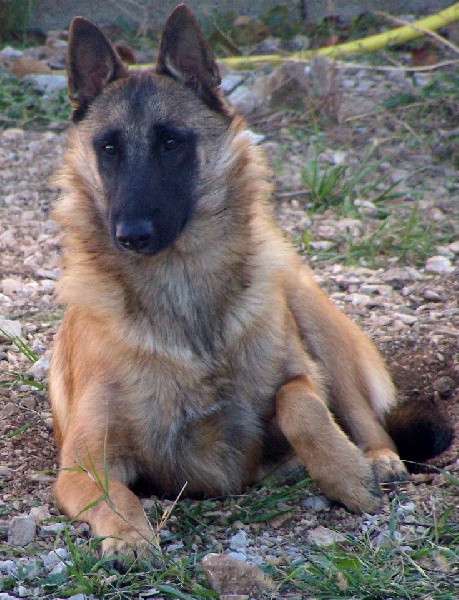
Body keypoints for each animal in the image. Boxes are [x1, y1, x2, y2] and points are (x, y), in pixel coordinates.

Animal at [49, 4, 452, 557]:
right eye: (108, 148)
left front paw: (347, 475)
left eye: (171, 143)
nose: (131, 234)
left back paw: (376, 459)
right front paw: (129, 536)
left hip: (308, 308)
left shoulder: (302, 378)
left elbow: (298, 402)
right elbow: (116, 497)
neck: (183, 291)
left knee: (371, 422)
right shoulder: (82, 466)